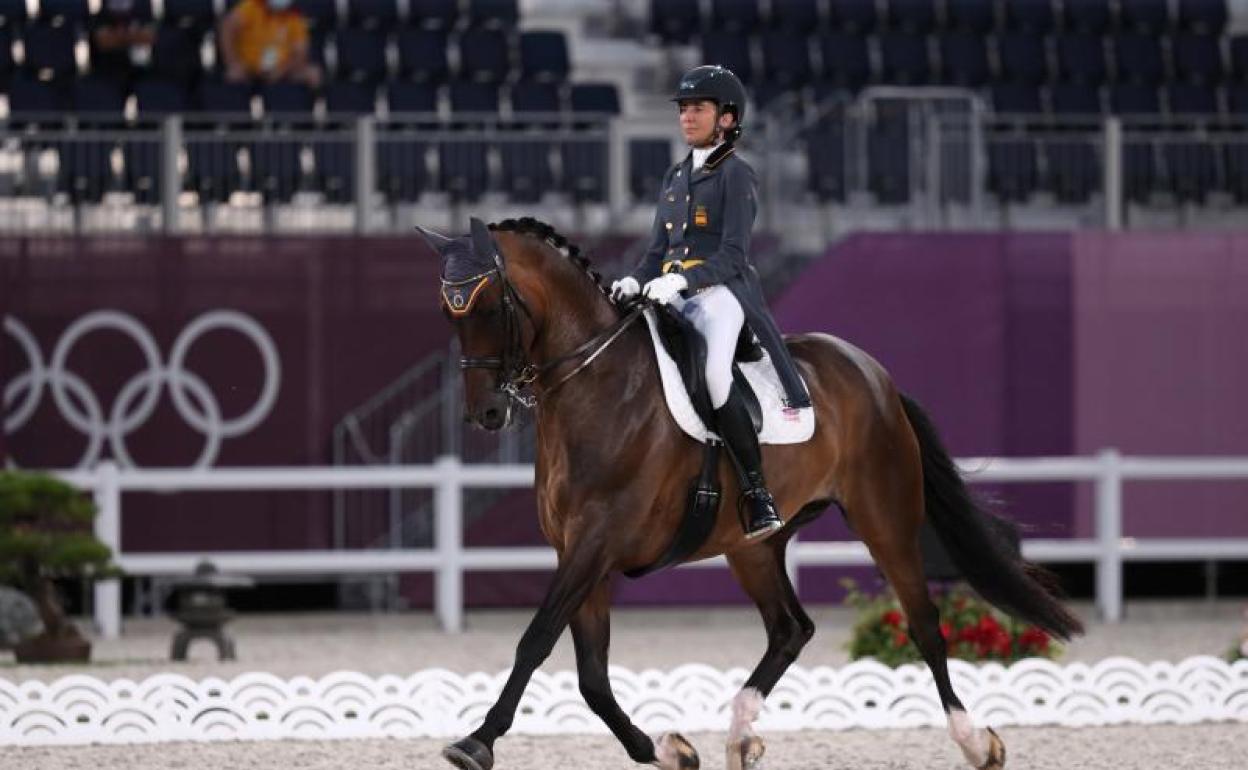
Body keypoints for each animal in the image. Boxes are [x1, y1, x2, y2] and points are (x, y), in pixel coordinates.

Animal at [426, 215, 1083, 768]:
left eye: (490, 305)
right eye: (449, 313)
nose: (486, 414)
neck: (599, 385)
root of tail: (876, 376)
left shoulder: (596, 543)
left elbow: (536, 640)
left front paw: (475, 743)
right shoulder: (580, 551)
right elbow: (591, 676)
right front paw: (667, 750)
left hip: (885, 521)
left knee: (923, 624)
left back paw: (976, 742)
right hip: (754, 546)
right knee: (791, 628)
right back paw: (740, 735)